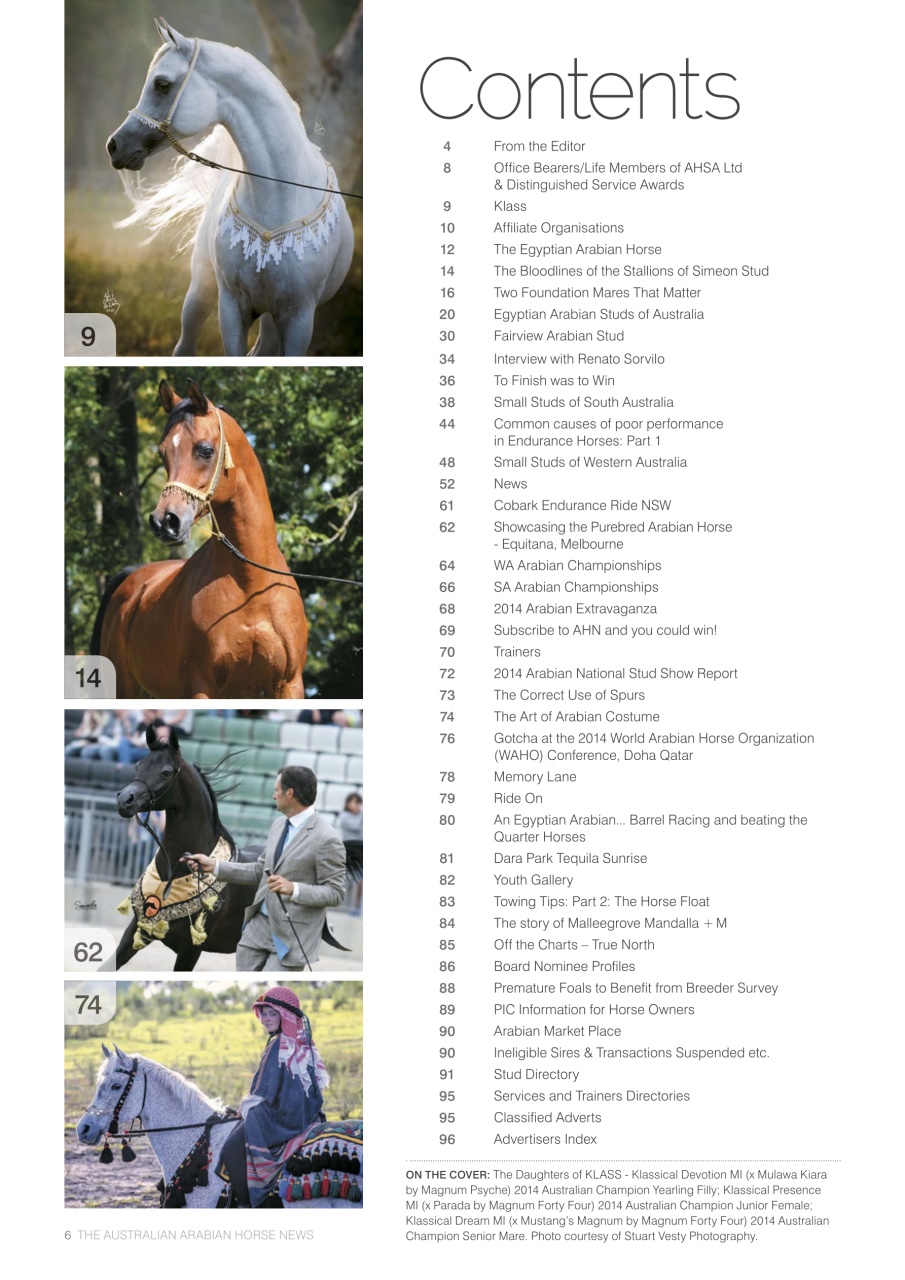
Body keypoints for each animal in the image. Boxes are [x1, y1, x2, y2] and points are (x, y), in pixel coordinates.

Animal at [90, 378, 308, 698]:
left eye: (205, 450)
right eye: (163, 453)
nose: (164, 522)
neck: (250, 584)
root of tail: (133, 580)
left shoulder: (287, 684)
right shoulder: (201, 687)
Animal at [106, 18, 354, 356]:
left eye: (162, 84)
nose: (114, 146)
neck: (280, 195)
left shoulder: (299, 318)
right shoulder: (232, 307)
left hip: (272, 318)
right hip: (202, 289)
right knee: (185, 345)